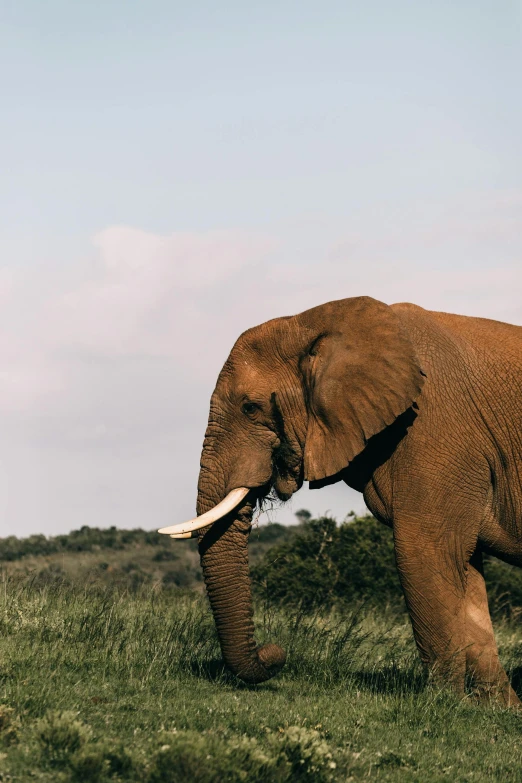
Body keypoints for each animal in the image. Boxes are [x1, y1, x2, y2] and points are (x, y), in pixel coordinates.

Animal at [158, 298, 520, 708]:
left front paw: (442, 703)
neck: (313, 323)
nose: (275, 654)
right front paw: (498, 710)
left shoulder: (435, 427)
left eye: (250, 407)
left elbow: (424, 550)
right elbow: (465, 569)